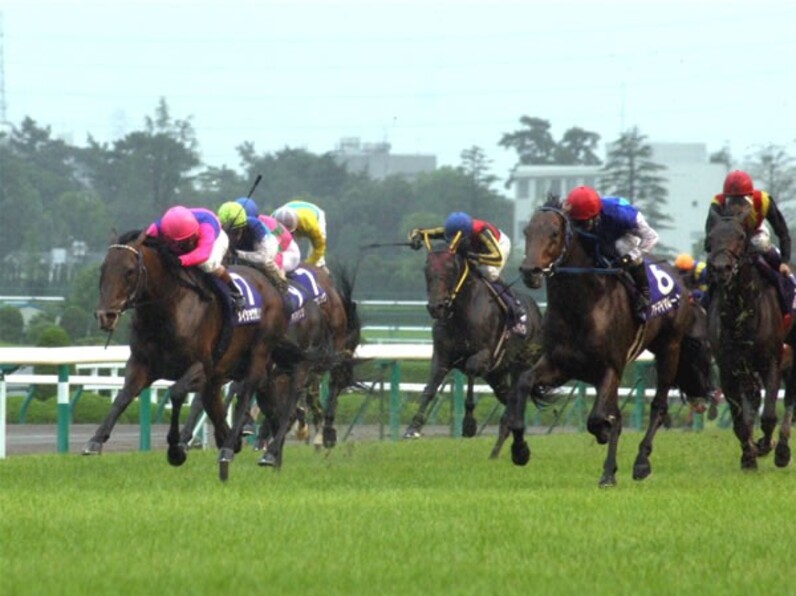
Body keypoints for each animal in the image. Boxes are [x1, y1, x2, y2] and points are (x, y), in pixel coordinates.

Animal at [408, 244, 544, 458]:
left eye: (451, 270)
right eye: (426, 270)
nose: (435, 307)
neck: (462, 313)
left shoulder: (485, 354)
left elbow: (471, 370)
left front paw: (469, 425)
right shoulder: (441, 356)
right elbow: (430, 387)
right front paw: (413, 428)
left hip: (521, 366)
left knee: (515, 398)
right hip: (496, 375)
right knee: (509, 400)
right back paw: (501, 445)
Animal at [510, 198, 716, 486]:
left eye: (554, 233)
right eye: (527, 232)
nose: (530, 271)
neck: (581, 307)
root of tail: (681, 280)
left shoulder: (611, 368)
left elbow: (600, 417)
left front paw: (605, 437)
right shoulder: (560, 365)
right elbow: (524, 381)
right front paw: (520, 450)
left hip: (670, 348)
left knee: (659, 406)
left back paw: (640, 462)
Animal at [704, 214, 796, 470]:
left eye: (741, 236)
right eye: (711, 238)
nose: (721, 268)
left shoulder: (772, 363)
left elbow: (769, 416)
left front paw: (766, 445)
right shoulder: (728, 368)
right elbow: (739, 421)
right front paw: (748, 456)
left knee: (790, 399)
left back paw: (782, 449)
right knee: (754, 399)